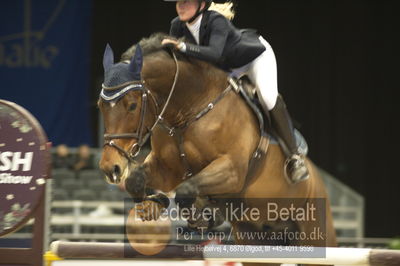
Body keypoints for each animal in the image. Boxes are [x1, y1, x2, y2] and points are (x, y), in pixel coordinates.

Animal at [98, 34, 336, 264]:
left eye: (132, 105)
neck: (189, 110)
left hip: (315, 235)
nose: (110, 168)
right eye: (101, 106)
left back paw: (297, 167)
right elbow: (135, 180)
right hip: (255, 241)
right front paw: (152, 206)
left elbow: (185, 191)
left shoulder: (232, 170)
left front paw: (201, 216)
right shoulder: (168, 170)